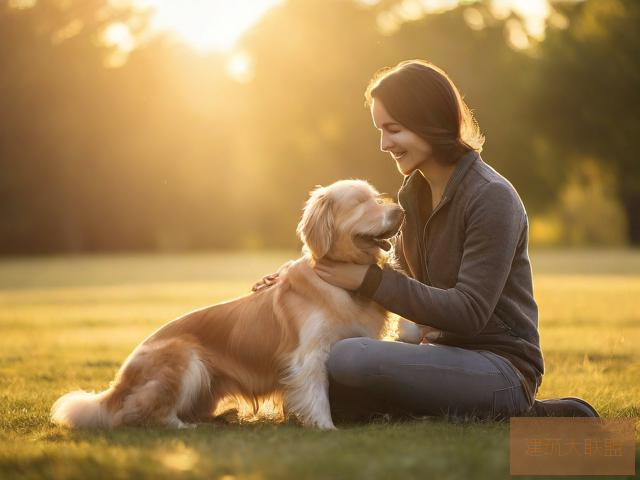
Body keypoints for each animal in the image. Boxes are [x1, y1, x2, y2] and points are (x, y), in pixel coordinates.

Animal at [53, 178, 404, 430]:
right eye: (359, 203)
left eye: (376, 198)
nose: (400, 211)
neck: (340, 283)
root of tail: (118, 385)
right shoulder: (310, 355)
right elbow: (317, 395)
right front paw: (326, 427)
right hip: (185, 358)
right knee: (137, 414)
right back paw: (183, 427)